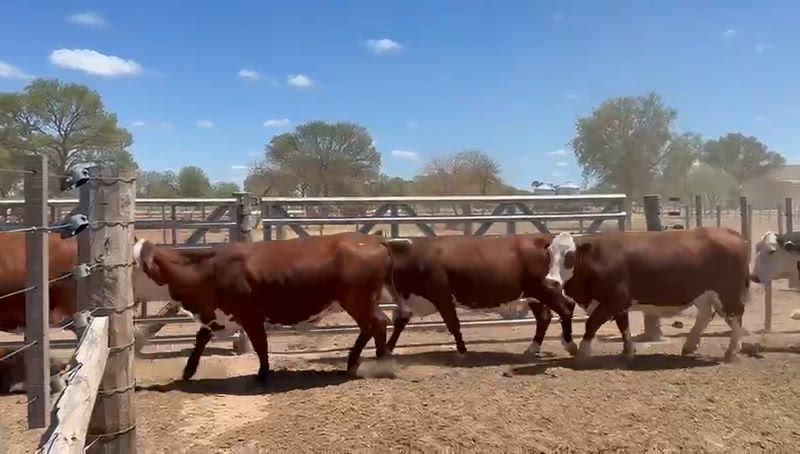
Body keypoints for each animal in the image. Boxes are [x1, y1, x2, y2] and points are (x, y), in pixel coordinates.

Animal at [132, 232, 400, 384]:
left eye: (135, 265)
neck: (209, 269)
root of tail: (373, 239)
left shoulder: (251, 315)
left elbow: (260, 344)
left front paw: (263, 373)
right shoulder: (219, 315)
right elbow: (200, 338)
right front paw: (188, 370)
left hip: (358, 300)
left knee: (377, 323)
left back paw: (379, 363)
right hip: (362, 302)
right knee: (372, 326)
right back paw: (356, 363)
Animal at [382, 234, 577, 357]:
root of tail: (543, 241)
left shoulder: (442, 297)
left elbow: (453, 324)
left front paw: (462, 351)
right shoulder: (408, 303)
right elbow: (399, 324)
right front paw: (386, 349)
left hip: (546, 289)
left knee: (566, 308)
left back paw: (571, 345)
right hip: (534, 295)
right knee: (544, 317)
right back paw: (532, 349)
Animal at [544, 227, 750, 363]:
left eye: (570, 256)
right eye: (550, 255)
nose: (551, 281)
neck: (597, 257)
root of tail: (732, 234)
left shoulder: (615, 299)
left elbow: (592, 323)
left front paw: (583, 351)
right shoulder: (619, 304)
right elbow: (623, 326)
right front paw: (628, 351)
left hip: (728, 293)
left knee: (736, 317)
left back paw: (732, 351)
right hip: (705, 294)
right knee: (707, 315)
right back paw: (690, 345)